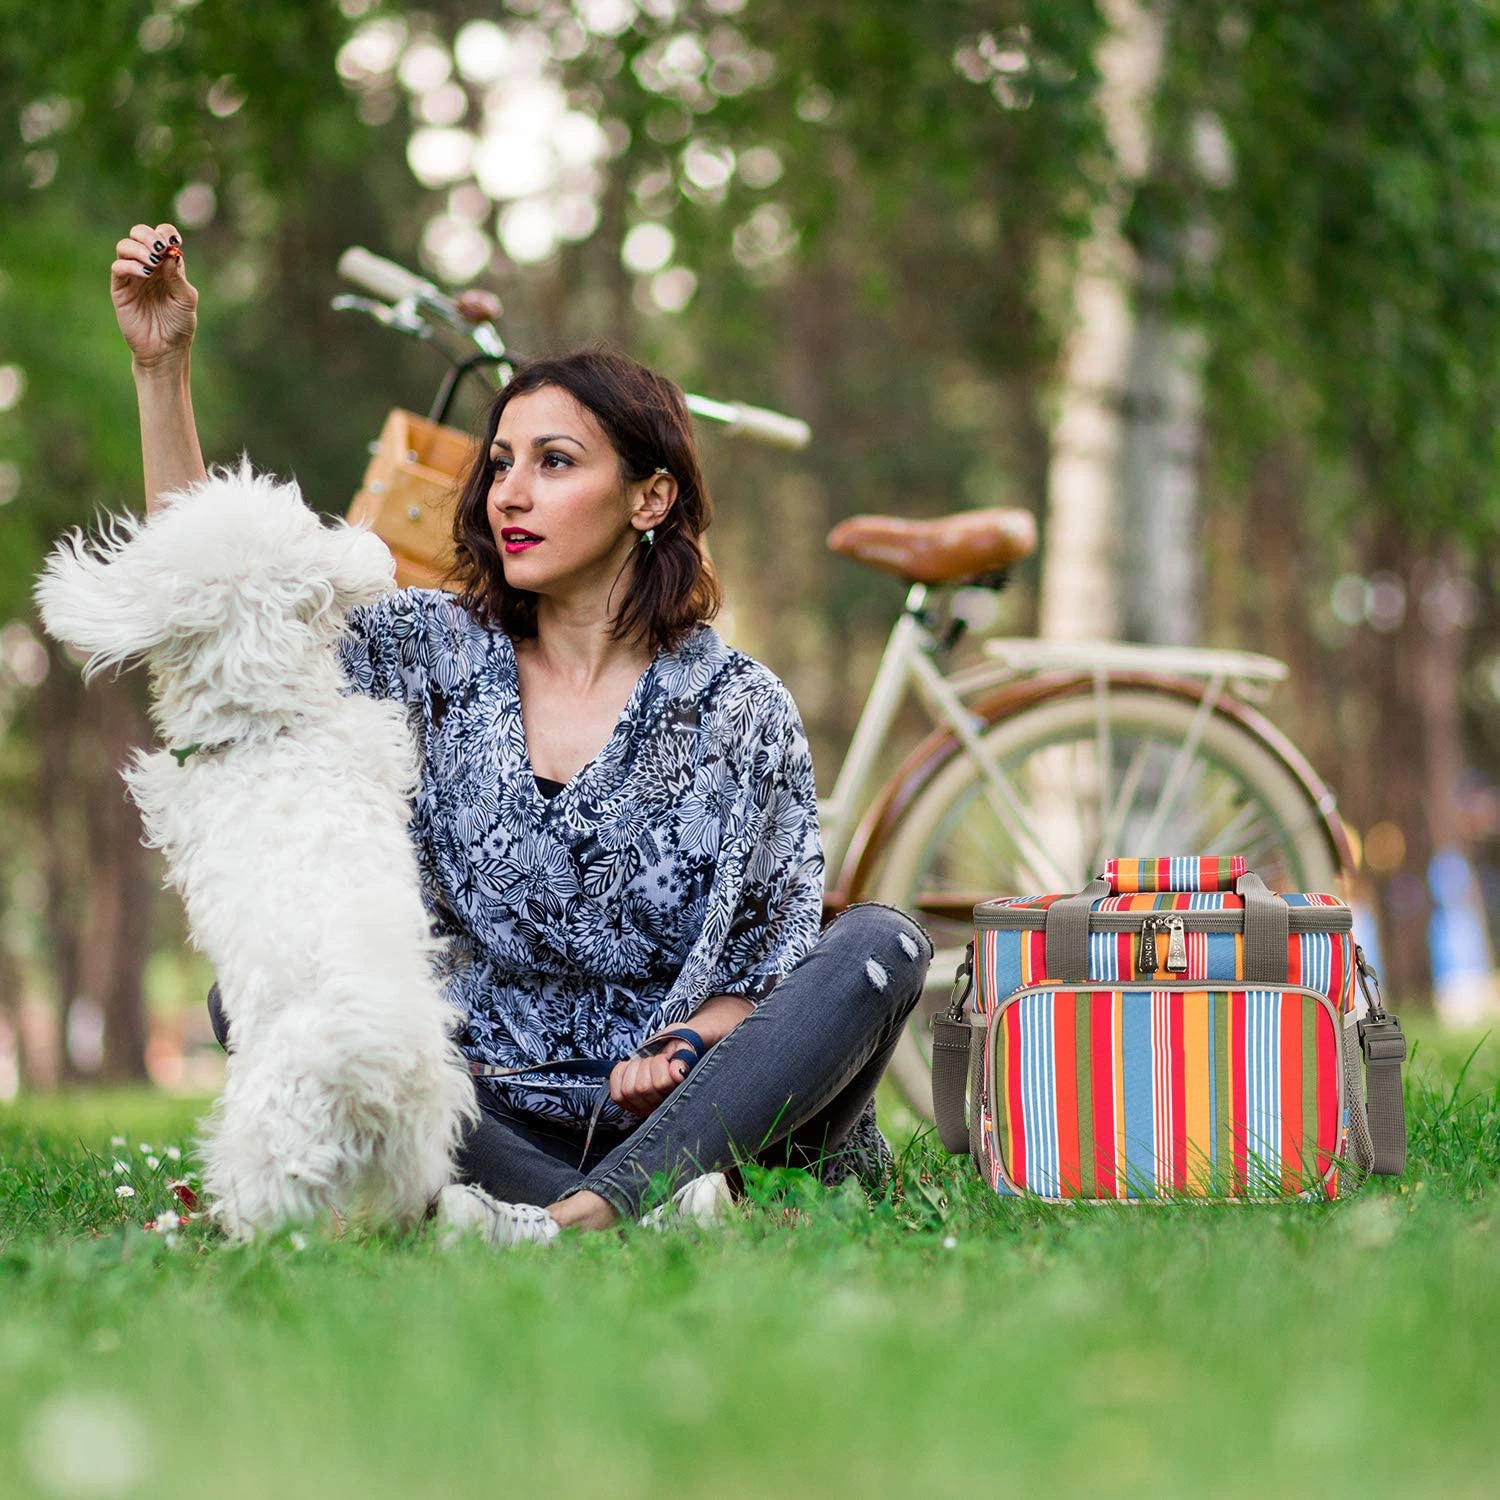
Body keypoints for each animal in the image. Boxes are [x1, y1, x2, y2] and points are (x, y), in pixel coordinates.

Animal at [33, 462, 474, 1236]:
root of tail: (365, 1056)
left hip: (260, 1135)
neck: (268, 729)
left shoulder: (176, 793)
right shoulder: (372, 744)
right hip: (417, 1141)